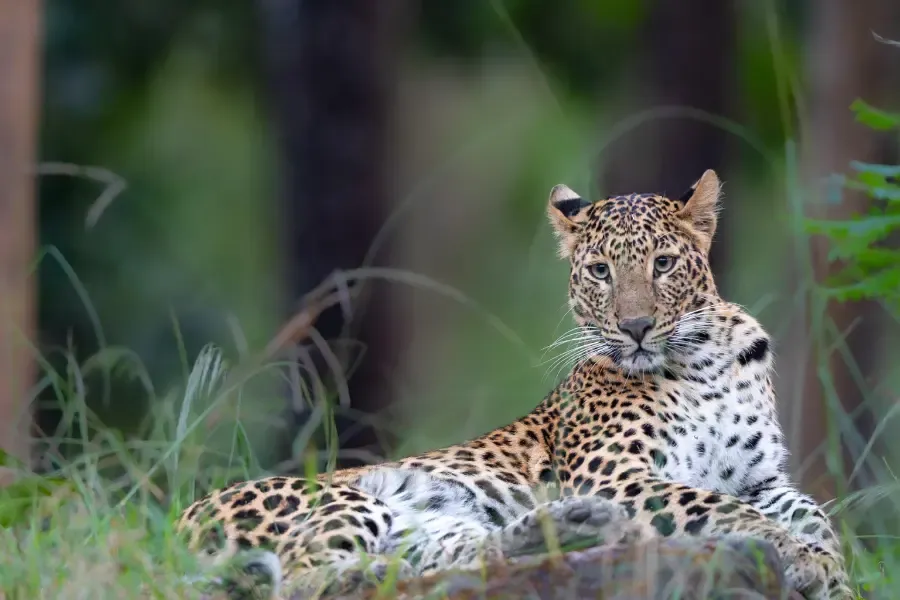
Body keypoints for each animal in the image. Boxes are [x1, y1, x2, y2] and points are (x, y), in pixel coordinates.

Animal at [177, 169, 853, 599]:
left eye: (663, 264)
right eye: (600, 272)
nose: (635, 327)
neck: (700, 360)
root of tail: (180, 519)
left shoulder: (761, 477)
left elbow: (813, 515)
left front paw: (832, 570)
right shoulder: (619, 473)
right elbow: (720, 507)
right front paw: (798, 557)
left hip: (432, 521)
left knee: (447, 565)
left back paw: (572, 528)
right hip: (341, 501)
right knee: (301, 578)